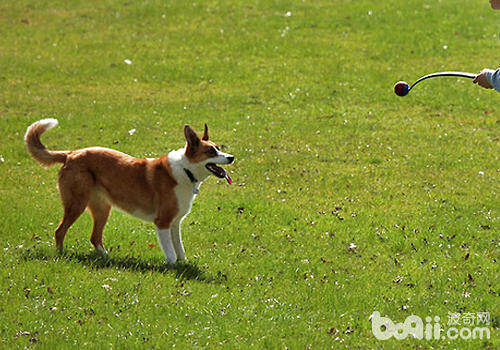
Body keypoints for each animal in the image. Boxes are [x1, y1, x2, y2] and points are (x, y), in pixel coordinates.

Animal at [23, 119, 234, 262]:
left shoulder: (175, 223)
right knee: (59, 231)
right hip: (77, 204)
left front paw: (184, 264)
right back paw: (61, 254)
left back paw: (106, 257)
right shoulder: (163, 222)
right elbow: (171, 254)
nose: (231, 157)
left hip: (102, 209)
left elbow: (179, 249)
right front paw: (173, 267)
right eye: (211, 151)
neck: (185, 169)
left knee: (94, 237)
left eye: (218, 148)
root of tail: (71, 154)